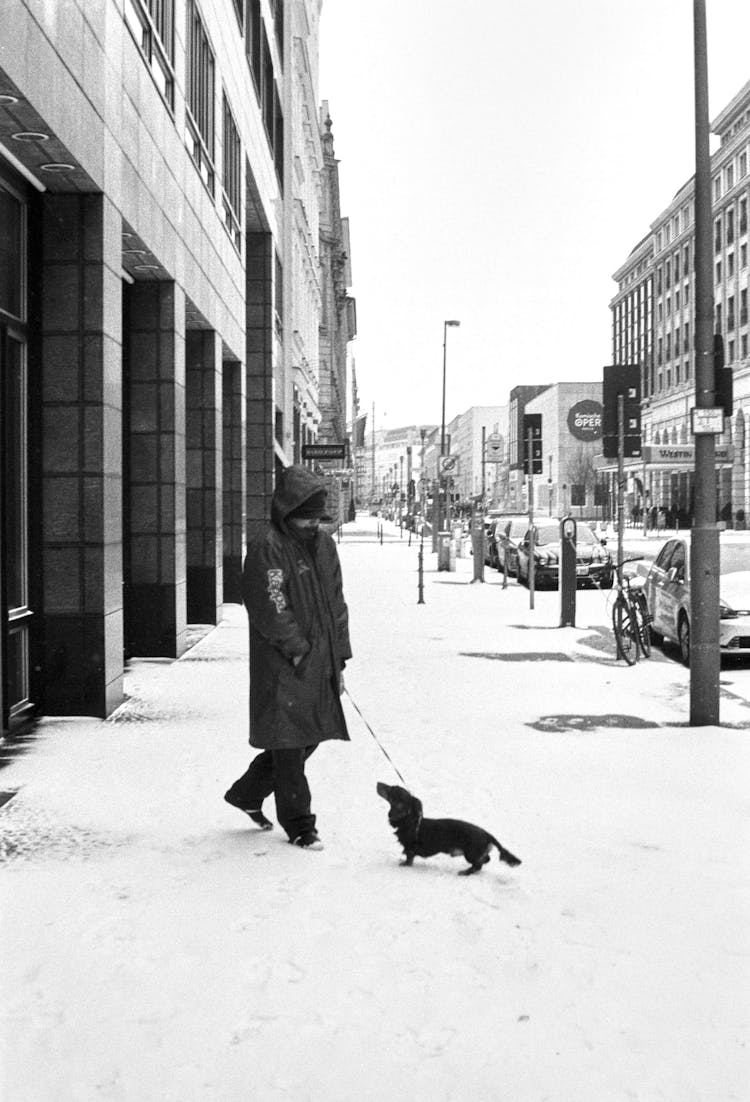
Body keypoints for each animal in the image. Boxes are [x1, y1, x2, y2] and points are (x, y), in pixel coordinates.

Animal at [374, 784, 519, 877]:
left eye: (391, 789)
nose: (378, 783)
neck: (410, 820)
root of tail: (488, 834)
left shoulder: (410, 848)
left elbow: (409, 859)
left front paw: (404, 864)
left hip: (470, 853)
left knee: (478, 865)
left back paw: (464, 872)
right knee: (485, 859)